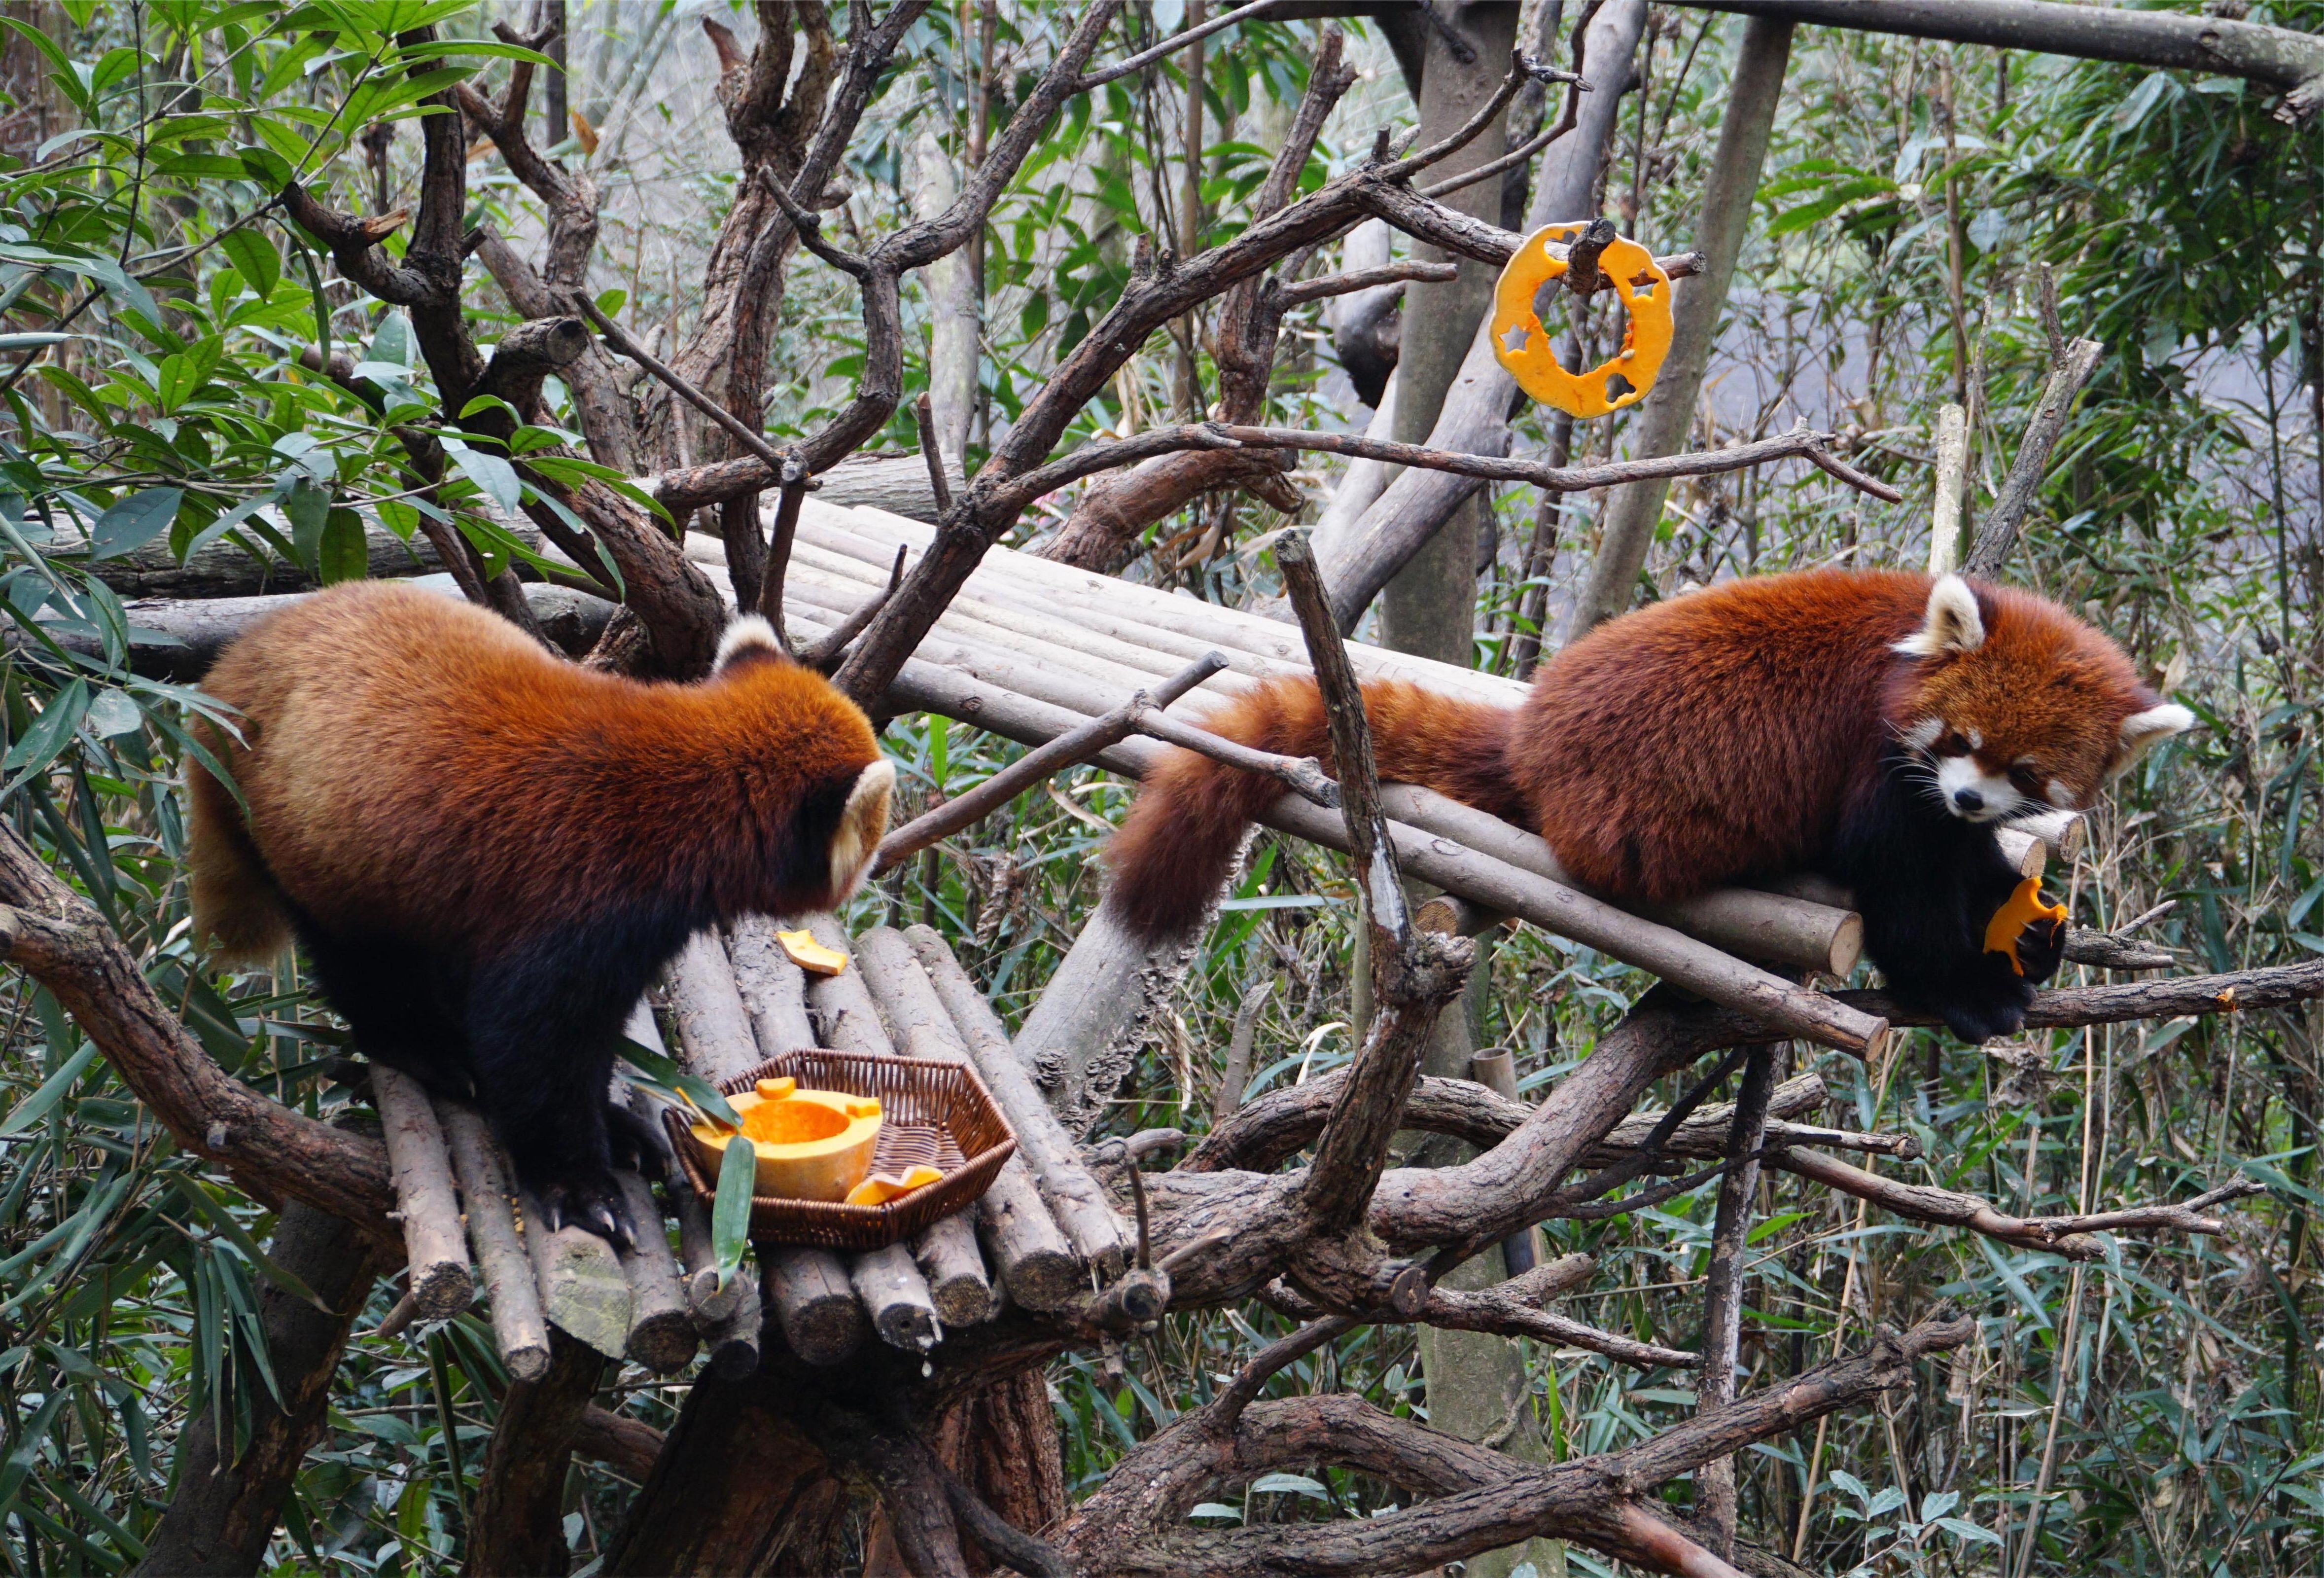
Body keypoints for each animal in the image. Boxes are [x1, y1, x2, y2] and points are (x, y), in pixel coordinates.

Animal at [186, 581, 892, 1246]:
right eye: (874, 836)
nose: (877, 871)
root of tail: (232, 665)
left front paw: (614, 1126)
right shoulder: (579, 898)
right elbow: (537, 1045)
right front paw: (580, 1187)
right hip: (311, 847)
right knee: (363, 964)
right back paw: (427, 1049)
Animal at [1106, 574, 2194, 1041]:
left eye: (2024, 773)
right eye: (1960, 741)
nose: (1969, 795)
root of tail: (1532, 742)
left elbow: (1962, 864)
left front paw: (2024, 927)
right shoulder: (1876, 763)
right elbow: (1897, 886)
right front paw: (1965, 989)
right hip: (1655, 815)